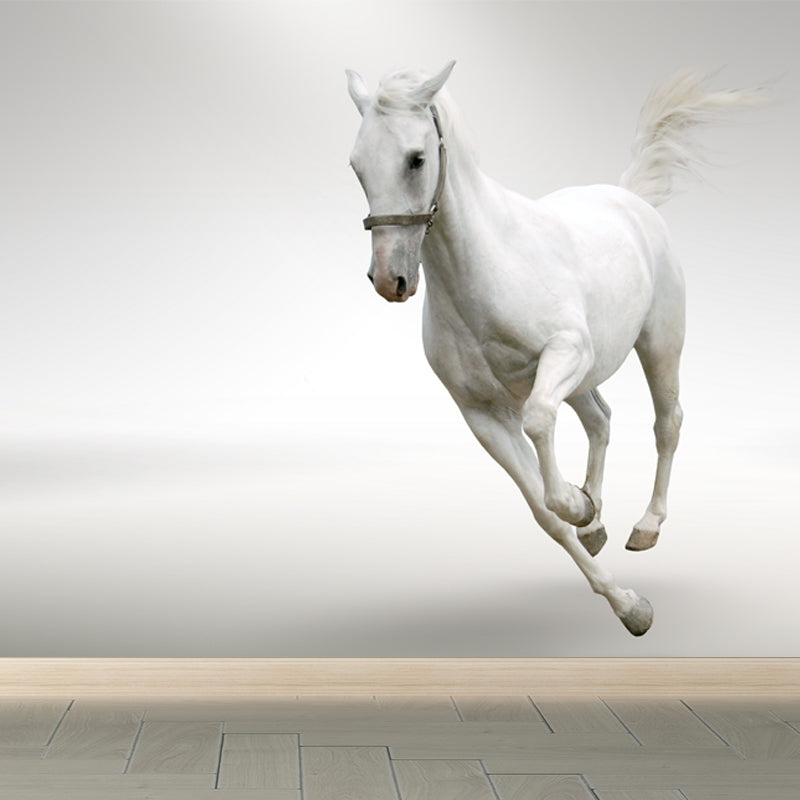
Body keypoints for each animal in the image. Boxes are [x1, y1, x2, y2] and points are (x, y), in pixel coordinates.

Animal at [346, 62, 766, 636]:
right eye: (356, 166)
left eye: (416, 158)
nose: (390, 280)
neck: (488, 269)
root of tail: (629, 198)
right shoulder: (481, 414)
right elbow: (545, 514)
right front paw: (626, 599)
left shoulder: (565, 354)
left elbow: (541, 423)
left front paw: (579, 507)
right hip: (587, 377)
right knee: (601, 419)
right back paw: (598, 521)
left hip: (658, 344)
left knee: (667, 423)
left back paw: (646, 525)